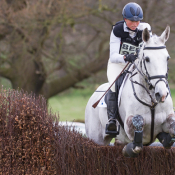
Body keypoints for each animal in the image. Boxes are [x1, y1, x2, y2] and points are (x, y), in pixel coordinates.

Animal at [84, 25, 174, 157]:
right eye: (147, 59)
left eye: (167, 58)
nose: (161, 94)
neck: (151, 99)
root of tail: (94, 95)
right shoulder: (129, 124)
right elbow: (137, 141)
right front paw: (128, 150)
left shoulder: (168, 118)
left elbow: (170, 133)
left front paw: (165, 138)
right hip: (96, 138)